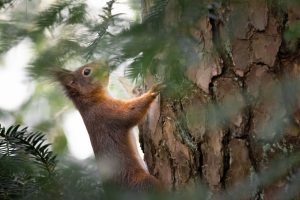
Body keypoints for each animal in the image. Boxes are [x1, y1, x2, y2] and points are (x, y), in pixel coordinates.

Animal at [53, 60, 163, 191]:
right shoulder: (106, 113)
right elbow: (131, 113)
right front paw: (152, 91)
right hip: (142, 183)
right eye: (86, 71)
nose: (105, 62)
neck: (91, 100)